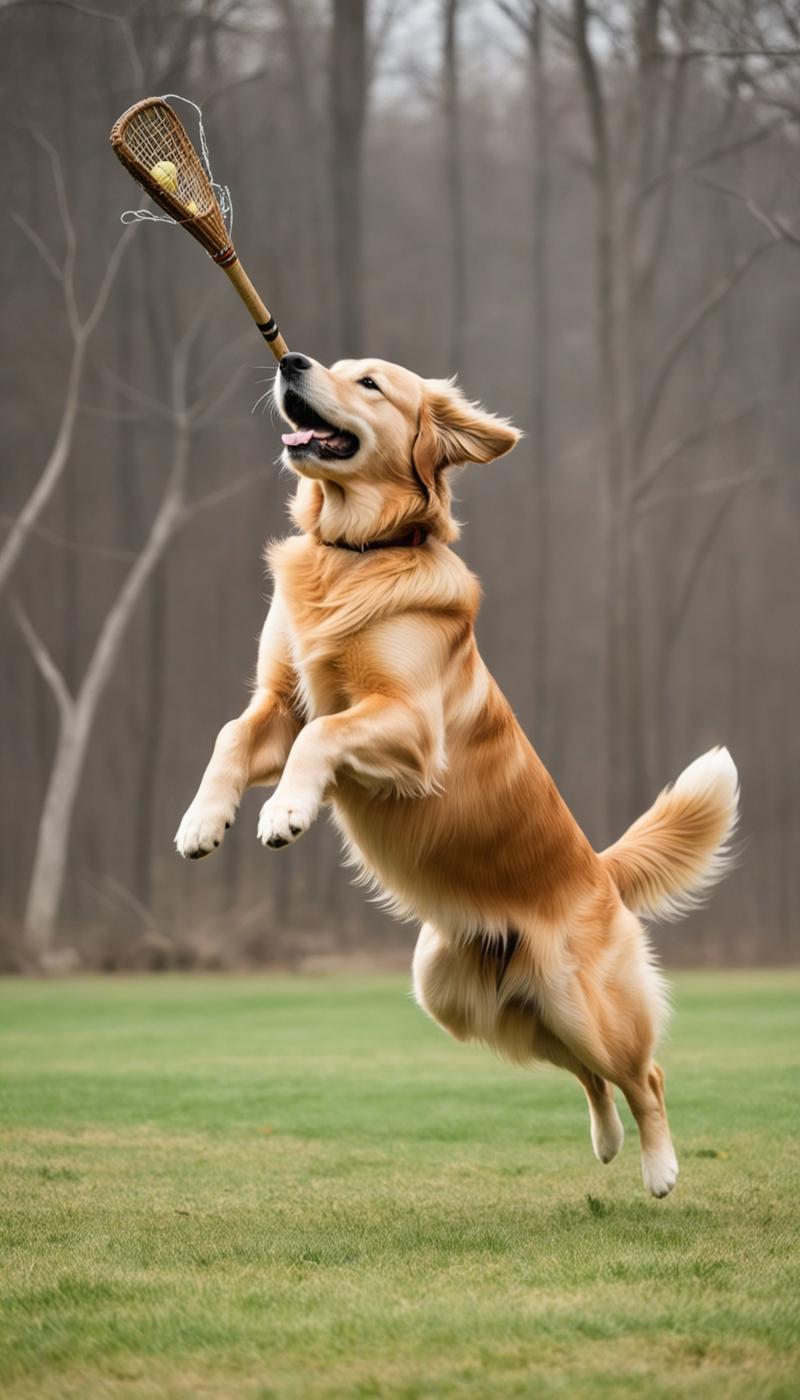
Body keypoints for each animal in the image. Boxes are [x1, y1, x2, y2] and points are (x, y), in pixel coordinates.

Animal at [175, 350, 739, 1192]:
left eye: (369, 383)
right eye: (333, 365)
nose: (291, 360)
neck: (355, 554)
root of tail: (601, 872)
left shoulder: (411, 729)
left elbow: (327, 736)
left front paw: (286, 812)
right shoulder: (279, 704)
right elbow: (230, 737)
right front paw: (203, 822)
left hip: (581, 998)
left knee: (644, 1072)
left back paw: (659, 1166)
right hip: (459, 996)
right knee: (586, 1071)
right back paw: (607, 1141)